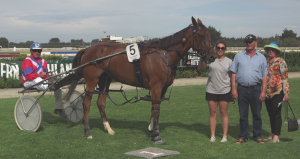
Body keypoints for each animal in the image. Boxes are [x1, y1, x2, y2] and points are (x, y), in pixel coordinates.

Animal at [64, 16, 217, 145]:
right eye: (201, 36)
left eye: (210, 35)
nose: (212, 56)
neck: (163, 55)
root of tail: (88, 49)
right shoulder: (156, 86)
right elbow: (156, 110)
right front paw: (156, 136)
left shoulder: (162, 88)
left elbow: (155, 108)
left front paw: (152, 130)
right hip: (91, 80)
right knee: (86, 104)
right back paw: (88, 132)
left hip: (105, 80)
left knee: (101, 103)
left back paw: (109, 129)